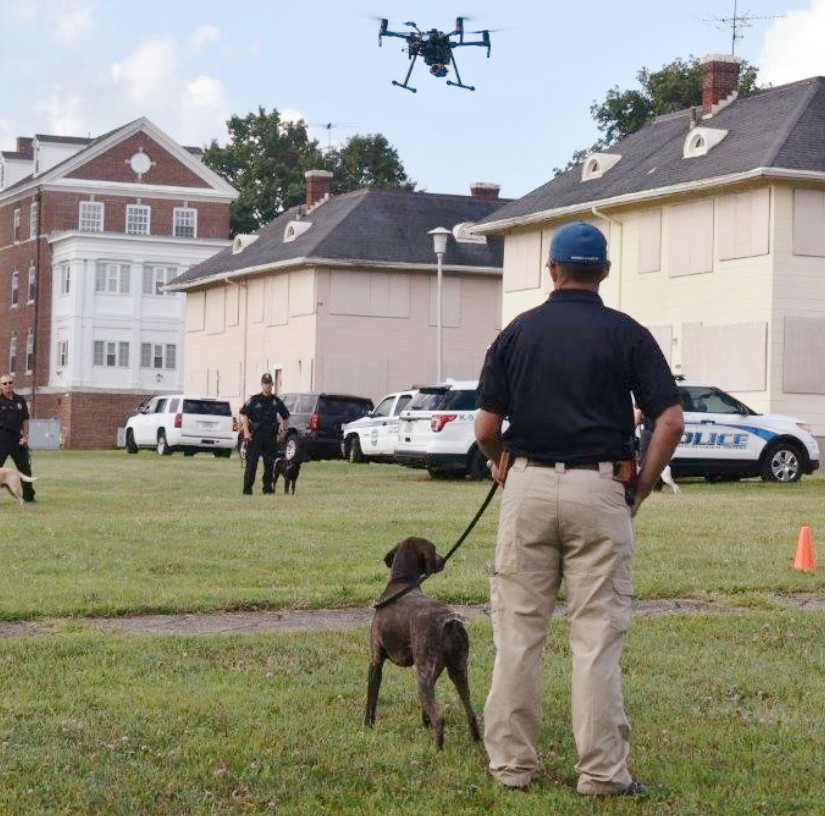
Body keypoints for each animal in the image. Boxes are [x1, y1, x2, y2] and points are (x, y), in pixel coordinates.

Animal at [364, 540, 480, 748]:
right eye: (434, 551)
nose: (442, 559)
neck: (401, 584)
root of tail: (449, 622)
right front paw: (425, 724)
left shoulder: (376, 660)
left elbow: (371, 698)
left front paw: (367, 726)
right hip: (458, 671)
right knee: (471, 712)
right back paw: (475, 742)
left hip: (425, 676)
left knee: (439, 718)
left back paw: (437, 750)